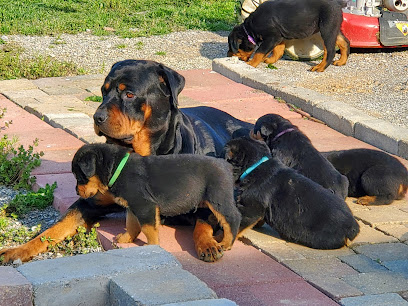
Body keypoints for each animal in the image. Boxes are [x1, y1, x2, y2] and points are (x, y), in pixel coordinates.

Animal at [71, 143, 241, 260]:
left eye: (80, 177)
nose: (76, 191)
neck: (117, 170)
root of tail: (226, 165)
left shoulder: (145, 205)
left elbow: (148, 228)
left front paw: (151, 246)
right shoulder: (133, 206)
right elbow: (131, 225)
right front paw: (126, 239)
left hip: (218, 198)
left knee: (232, 218)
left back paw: (226, 243)